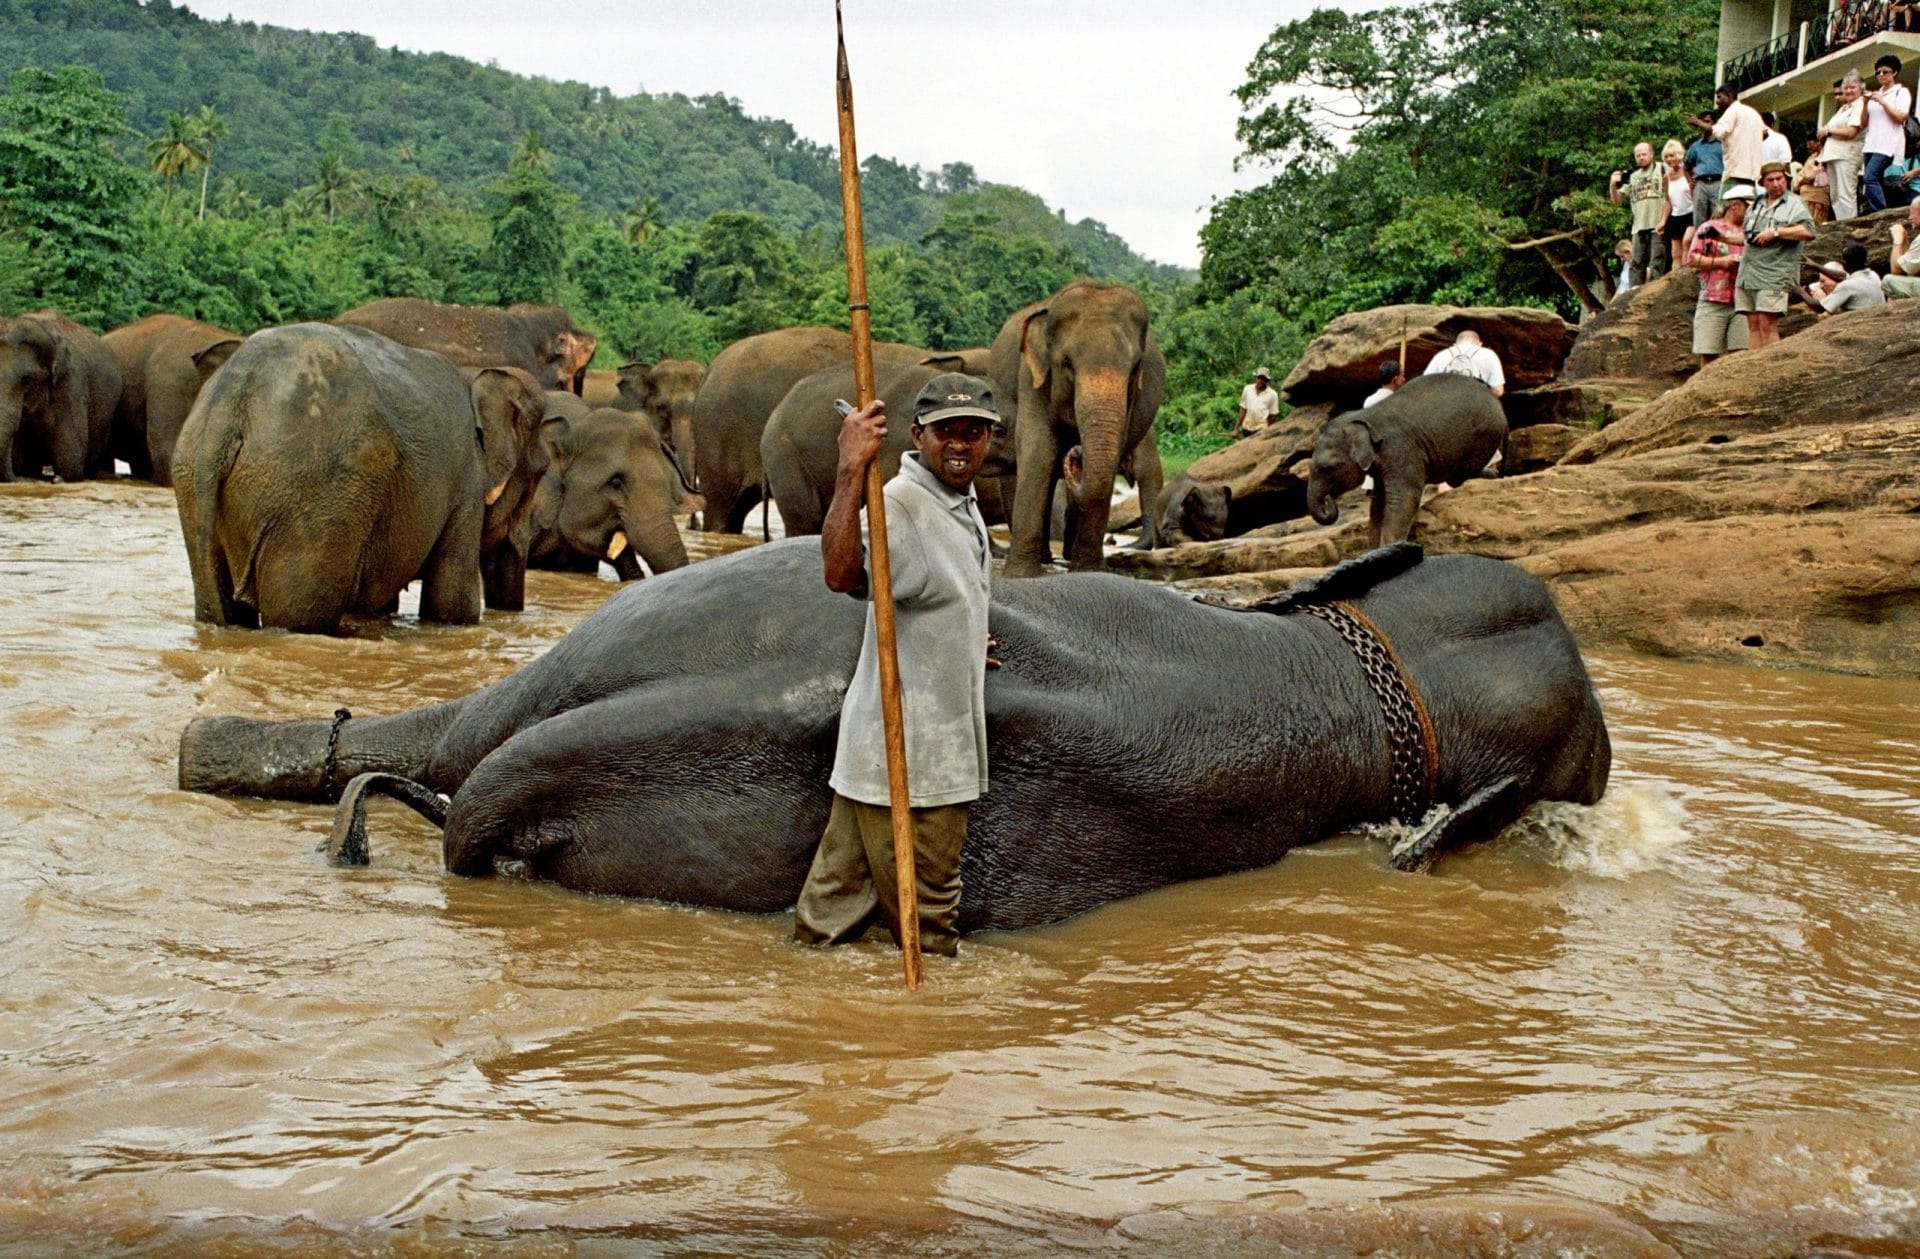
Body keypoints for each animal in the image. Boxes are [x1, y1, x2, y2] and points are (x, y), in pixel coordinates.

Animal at [173, 323, 548, 633]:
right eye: (541, 472)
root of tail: (231, 399)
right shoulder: (466, 477)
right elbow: (452, 602)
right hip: (315, 500)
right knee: (300, 617)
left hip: (193, 477)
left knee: (218, 605)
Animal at [988, 281, 1167, 576]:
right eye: (1067, 364)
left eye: (1135, 368)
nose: (1076, 452)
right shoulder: (1032, 377)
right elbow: (1039, 451)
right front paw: (1021, 575)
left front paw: (1089, 571)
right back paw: (1046, 558)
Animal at [1305, 372, 1508, 548]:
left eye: (1327, 467)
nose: (1328, 501)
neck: (1365, 416)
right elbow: (1378, 503)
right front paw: (1374, 551)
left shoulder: (1401, 451)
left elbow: (1403, 498)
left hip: (1484, 435)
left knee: (1460, 476)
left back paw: (1489, 474)